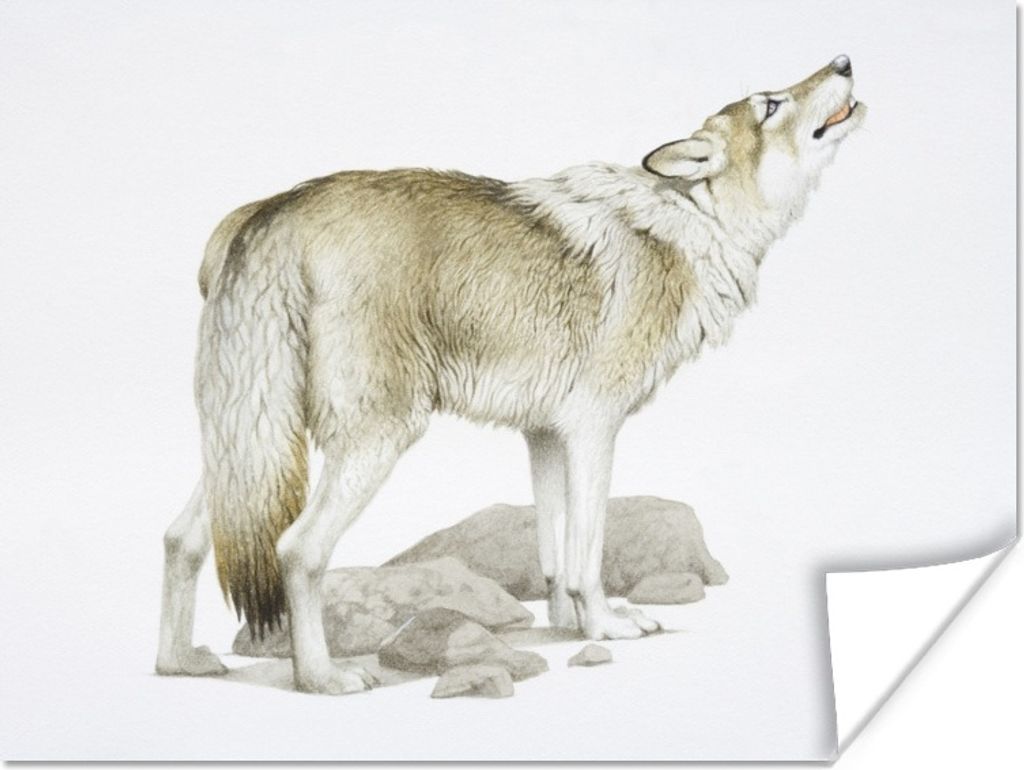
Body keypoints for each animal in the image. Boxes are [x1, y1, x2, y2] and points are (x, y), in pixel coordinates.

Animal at [156, 56, 864, 694]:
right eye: (771, 104)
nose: (844, 61)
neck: (691, 222)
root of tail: (271, 213)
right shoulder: (594, 428)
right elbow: (586, 552)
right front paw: (604, 625)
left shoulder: (545, 434)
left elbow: (552, 551)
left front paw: (565, 626)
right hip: (374, 439)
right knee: (298, 550)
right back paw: (322, 678)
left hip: (248, 447)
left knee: (181, 538)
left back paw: (179, 663)